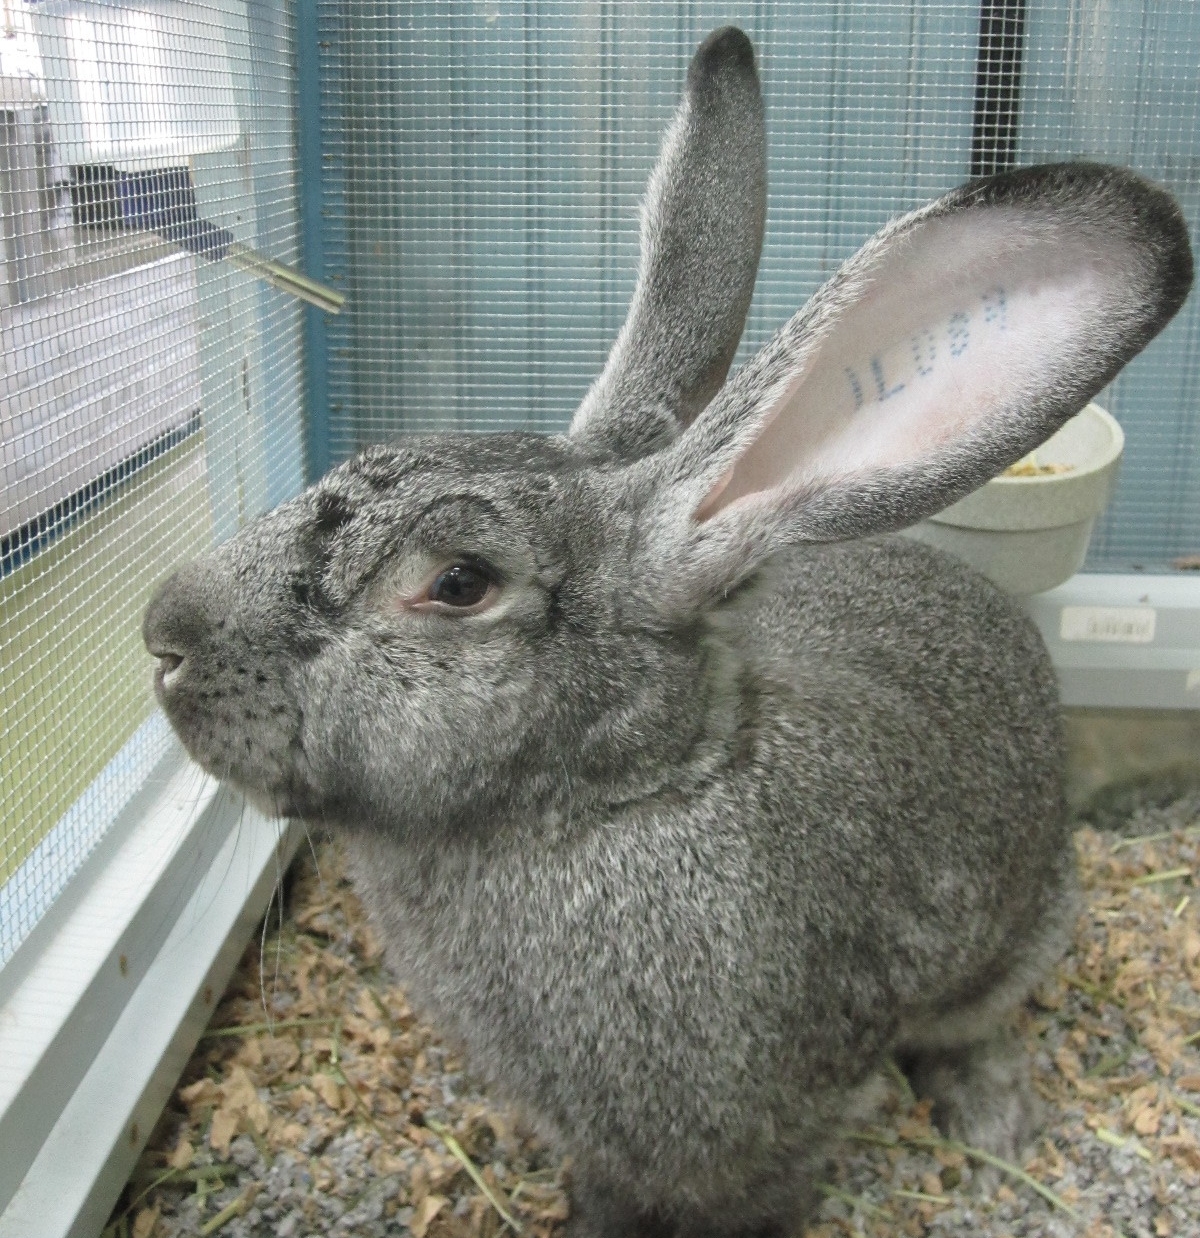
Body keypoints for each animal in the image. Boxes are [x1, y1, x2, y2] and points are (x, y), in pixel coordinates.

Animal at [143, 26, 1188, 1238]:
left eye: (459, 582)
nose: (164, 635)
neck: (619, 795)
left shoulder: (783, 1122)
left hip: (1025, 928)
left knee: (978, 1018)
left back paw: (991, 1116)